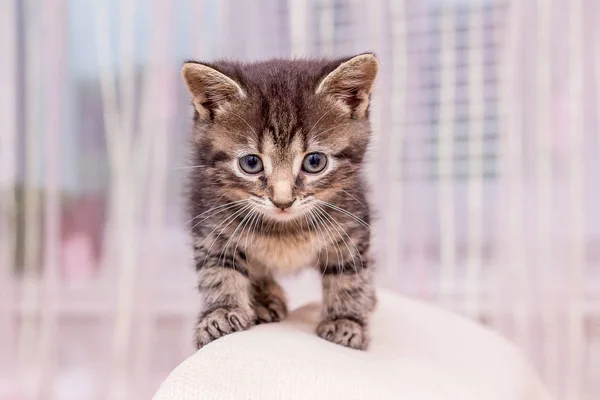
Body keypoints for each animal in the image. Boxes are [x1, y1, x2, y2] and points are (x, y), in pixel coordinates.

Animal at [180, 53, 378, 350]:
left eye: (315, 162)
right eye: (251, 163)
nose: (282, 201)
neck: (285, 228)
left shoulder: (352, 222)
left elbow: (349, 275)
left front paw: (346, 321)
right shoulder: (210, 220)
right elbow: (218, 270)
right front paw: (221, 313)